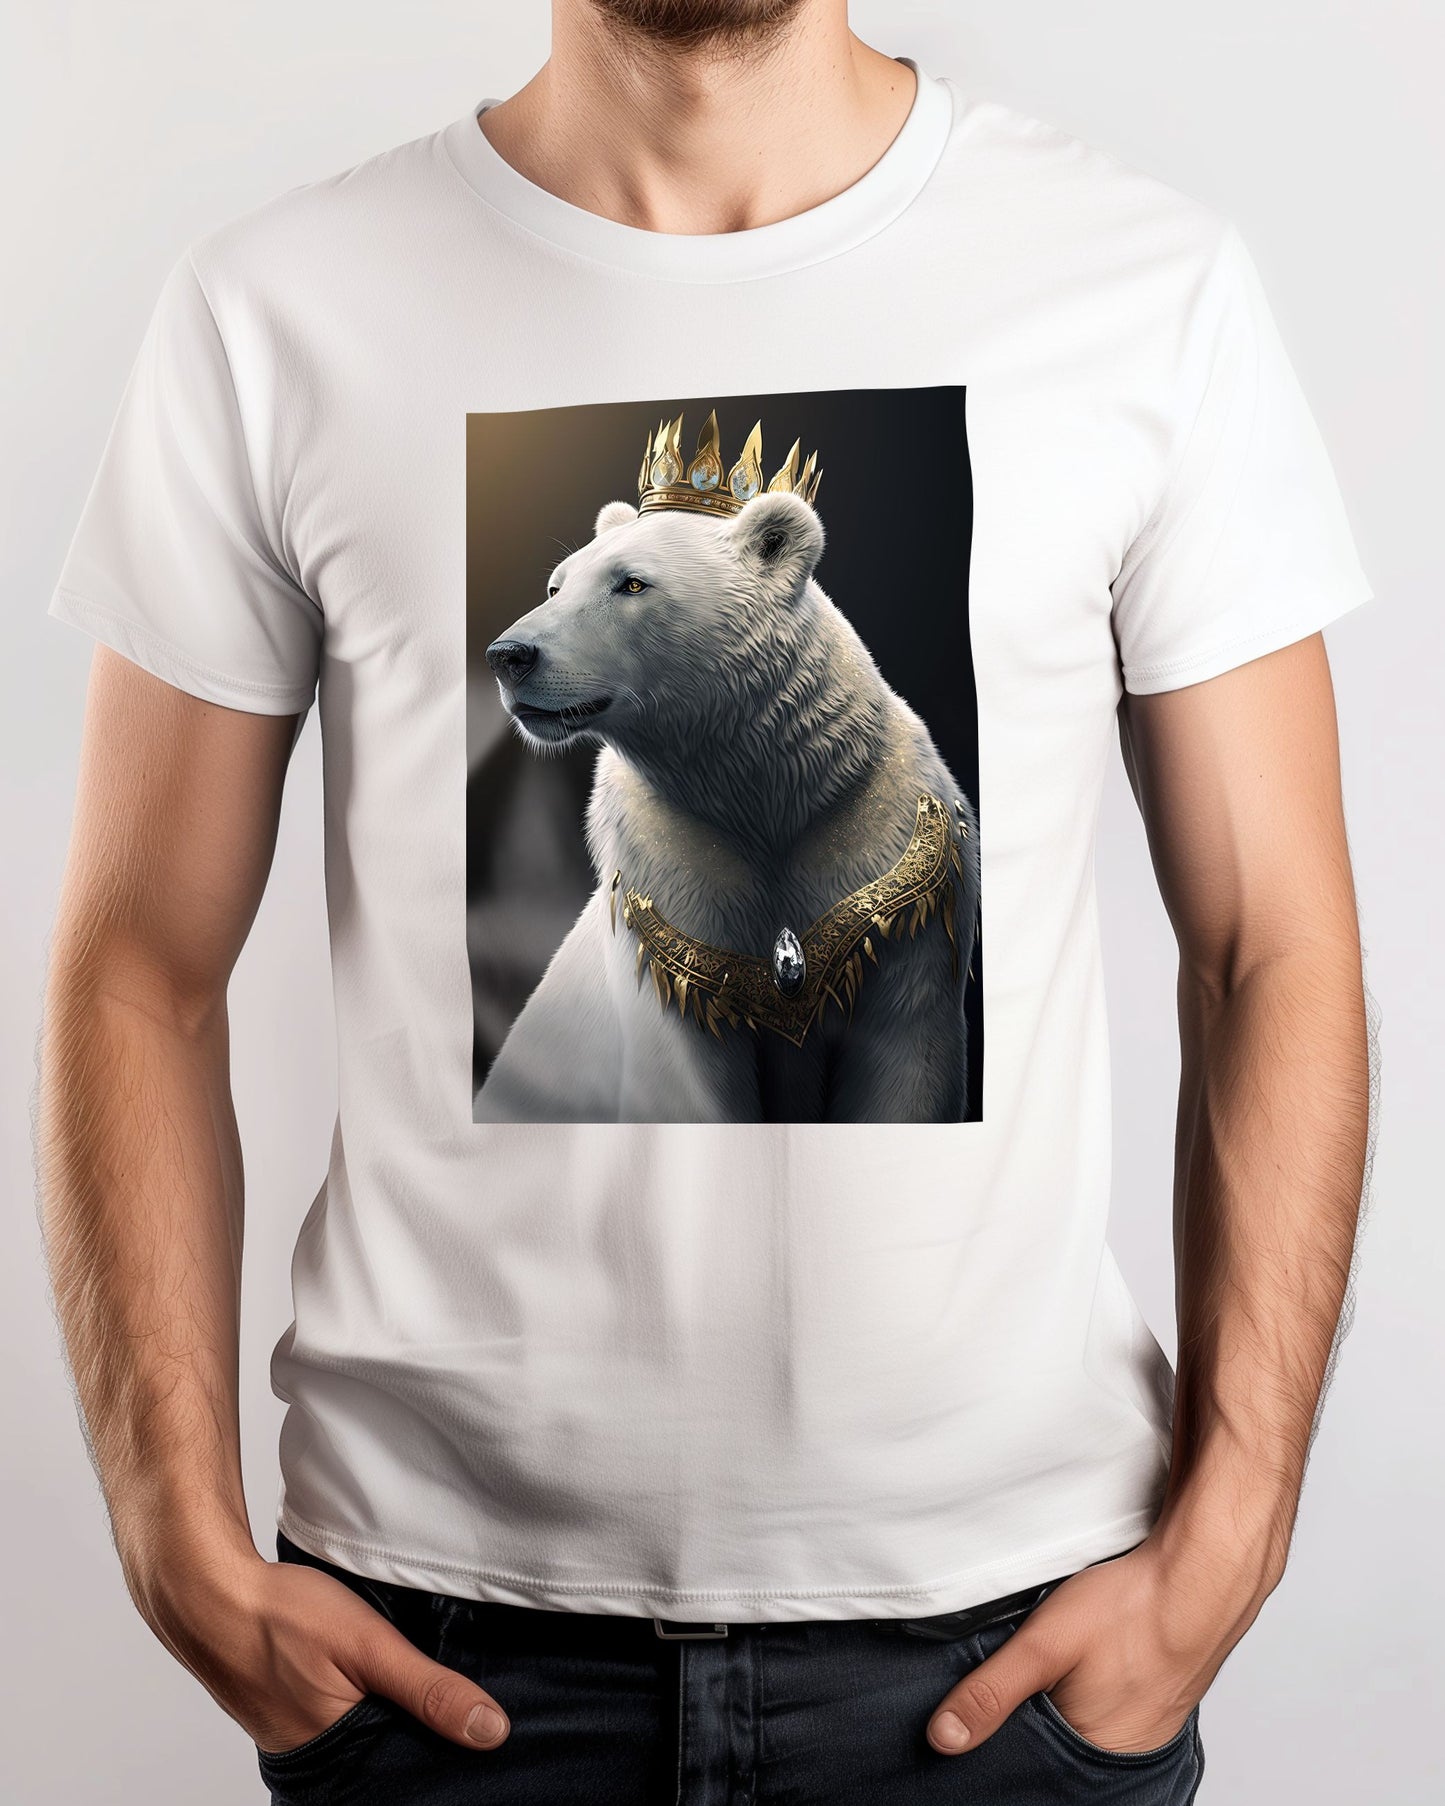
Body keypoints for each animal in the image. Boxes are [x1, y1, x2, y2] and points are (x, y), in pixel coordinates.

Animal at [474, 486, 979, 1123]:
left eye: (631, 583)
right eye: (556, 586)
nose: (509, 655)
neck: (768, 794)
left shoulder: (891, 858)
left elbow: (904, 1056)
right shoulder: (672, 881)